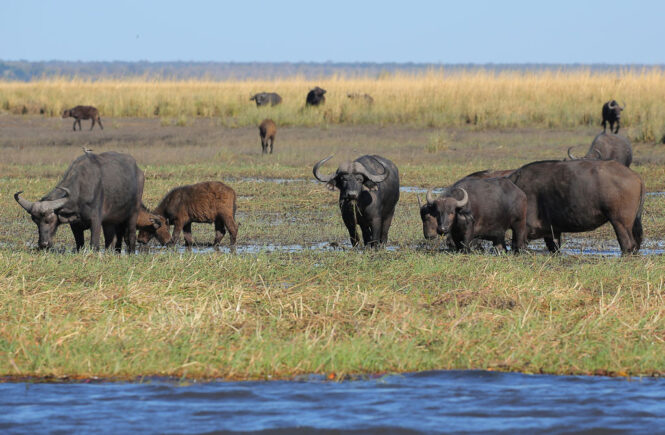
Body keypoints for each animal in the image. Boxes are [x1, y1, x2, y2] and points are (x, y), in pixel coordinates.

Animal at [14, 152, 144, 252]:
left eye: (50, 220)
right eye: (35, 221)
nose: (43, 244)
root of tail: (139, 171)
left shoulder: (96, 221)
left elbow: (94, 244)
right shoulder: (75, 224)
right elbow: (79, 244)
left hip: (133, 213)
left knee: (130, 236)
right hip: (111, 221)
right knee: (112, 240)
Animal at [508, 160, 644, 255]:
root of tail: (636, 176)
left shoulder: (523, 230)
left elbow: (516, 246)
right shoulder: (553, 233)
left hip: (620, 223)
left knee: (627, 245)